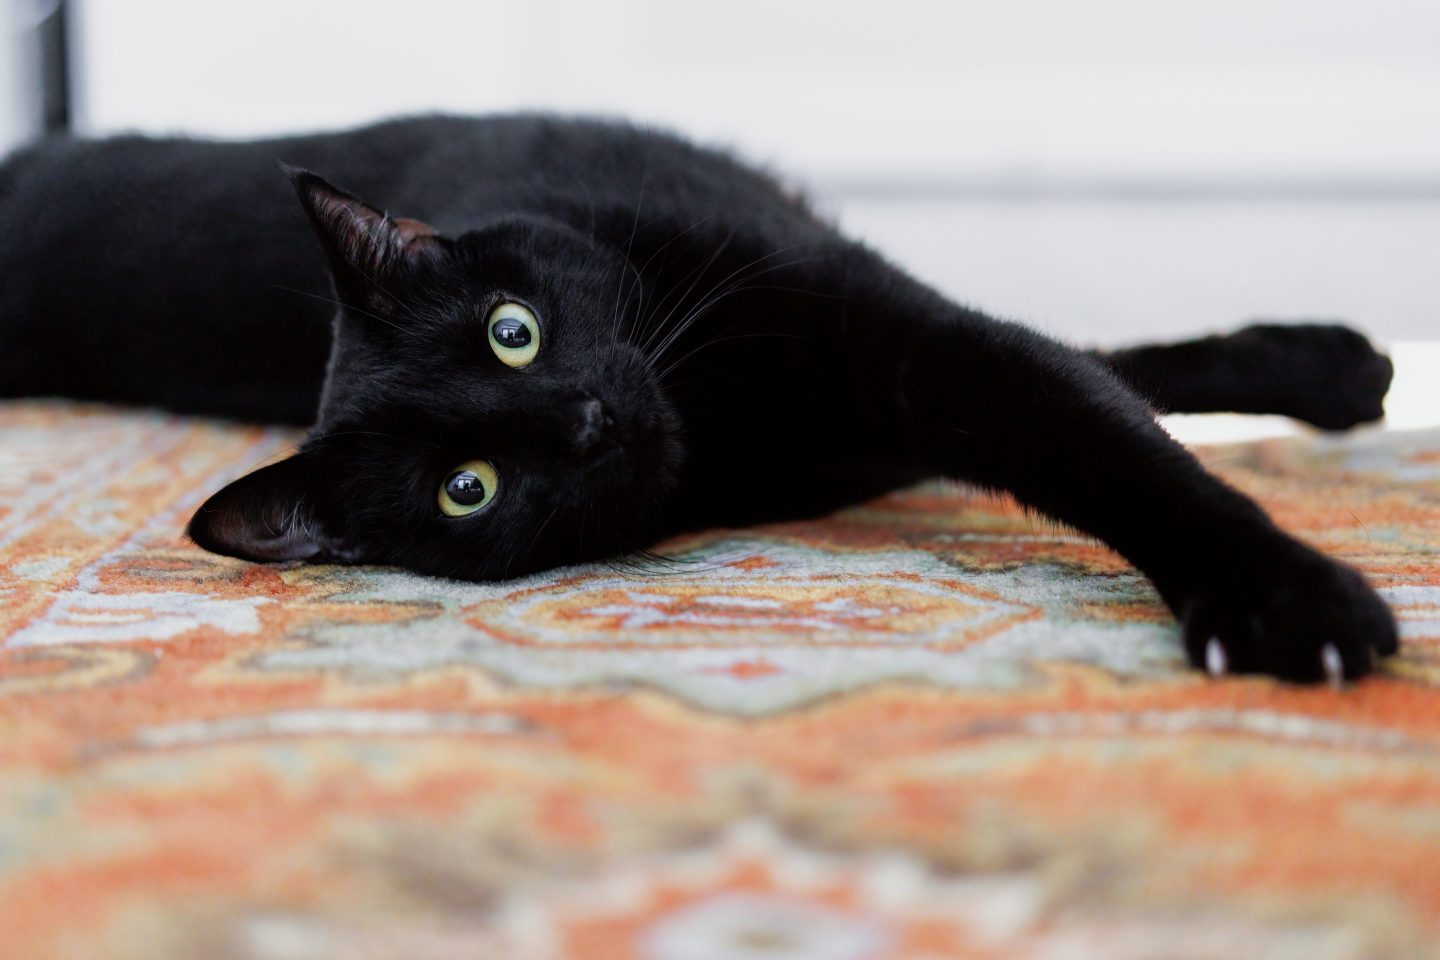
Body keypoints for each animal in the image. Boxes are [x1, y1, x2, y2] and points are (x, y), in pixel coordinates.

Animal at [0, 114, 1393, 682]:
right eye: (467, 490)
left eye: (513, 333)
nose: (587, 419)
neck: (734, 419)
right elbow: (1105, 398)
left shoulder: (908, 342)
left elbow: (1108, 432)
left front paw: (1283, 595)